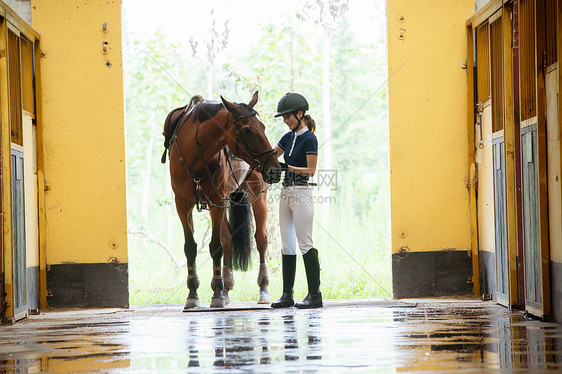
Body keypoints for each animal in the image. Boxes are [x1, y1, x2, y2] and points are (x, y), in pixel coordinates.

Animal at [161, 92, 278, 308]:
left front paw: (215, 293)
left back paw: (263, 288)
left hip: (257, 196)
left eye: (263, 127)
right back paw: (226, 287)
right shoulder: (183, 204)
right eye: (247, 130)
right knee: (228, 238)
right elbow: (191, 247)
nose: (274, 168)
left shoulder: (217, 201)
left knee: (261, 239)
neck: (195, 154)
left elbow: (216, 246)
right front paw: (193, 294)